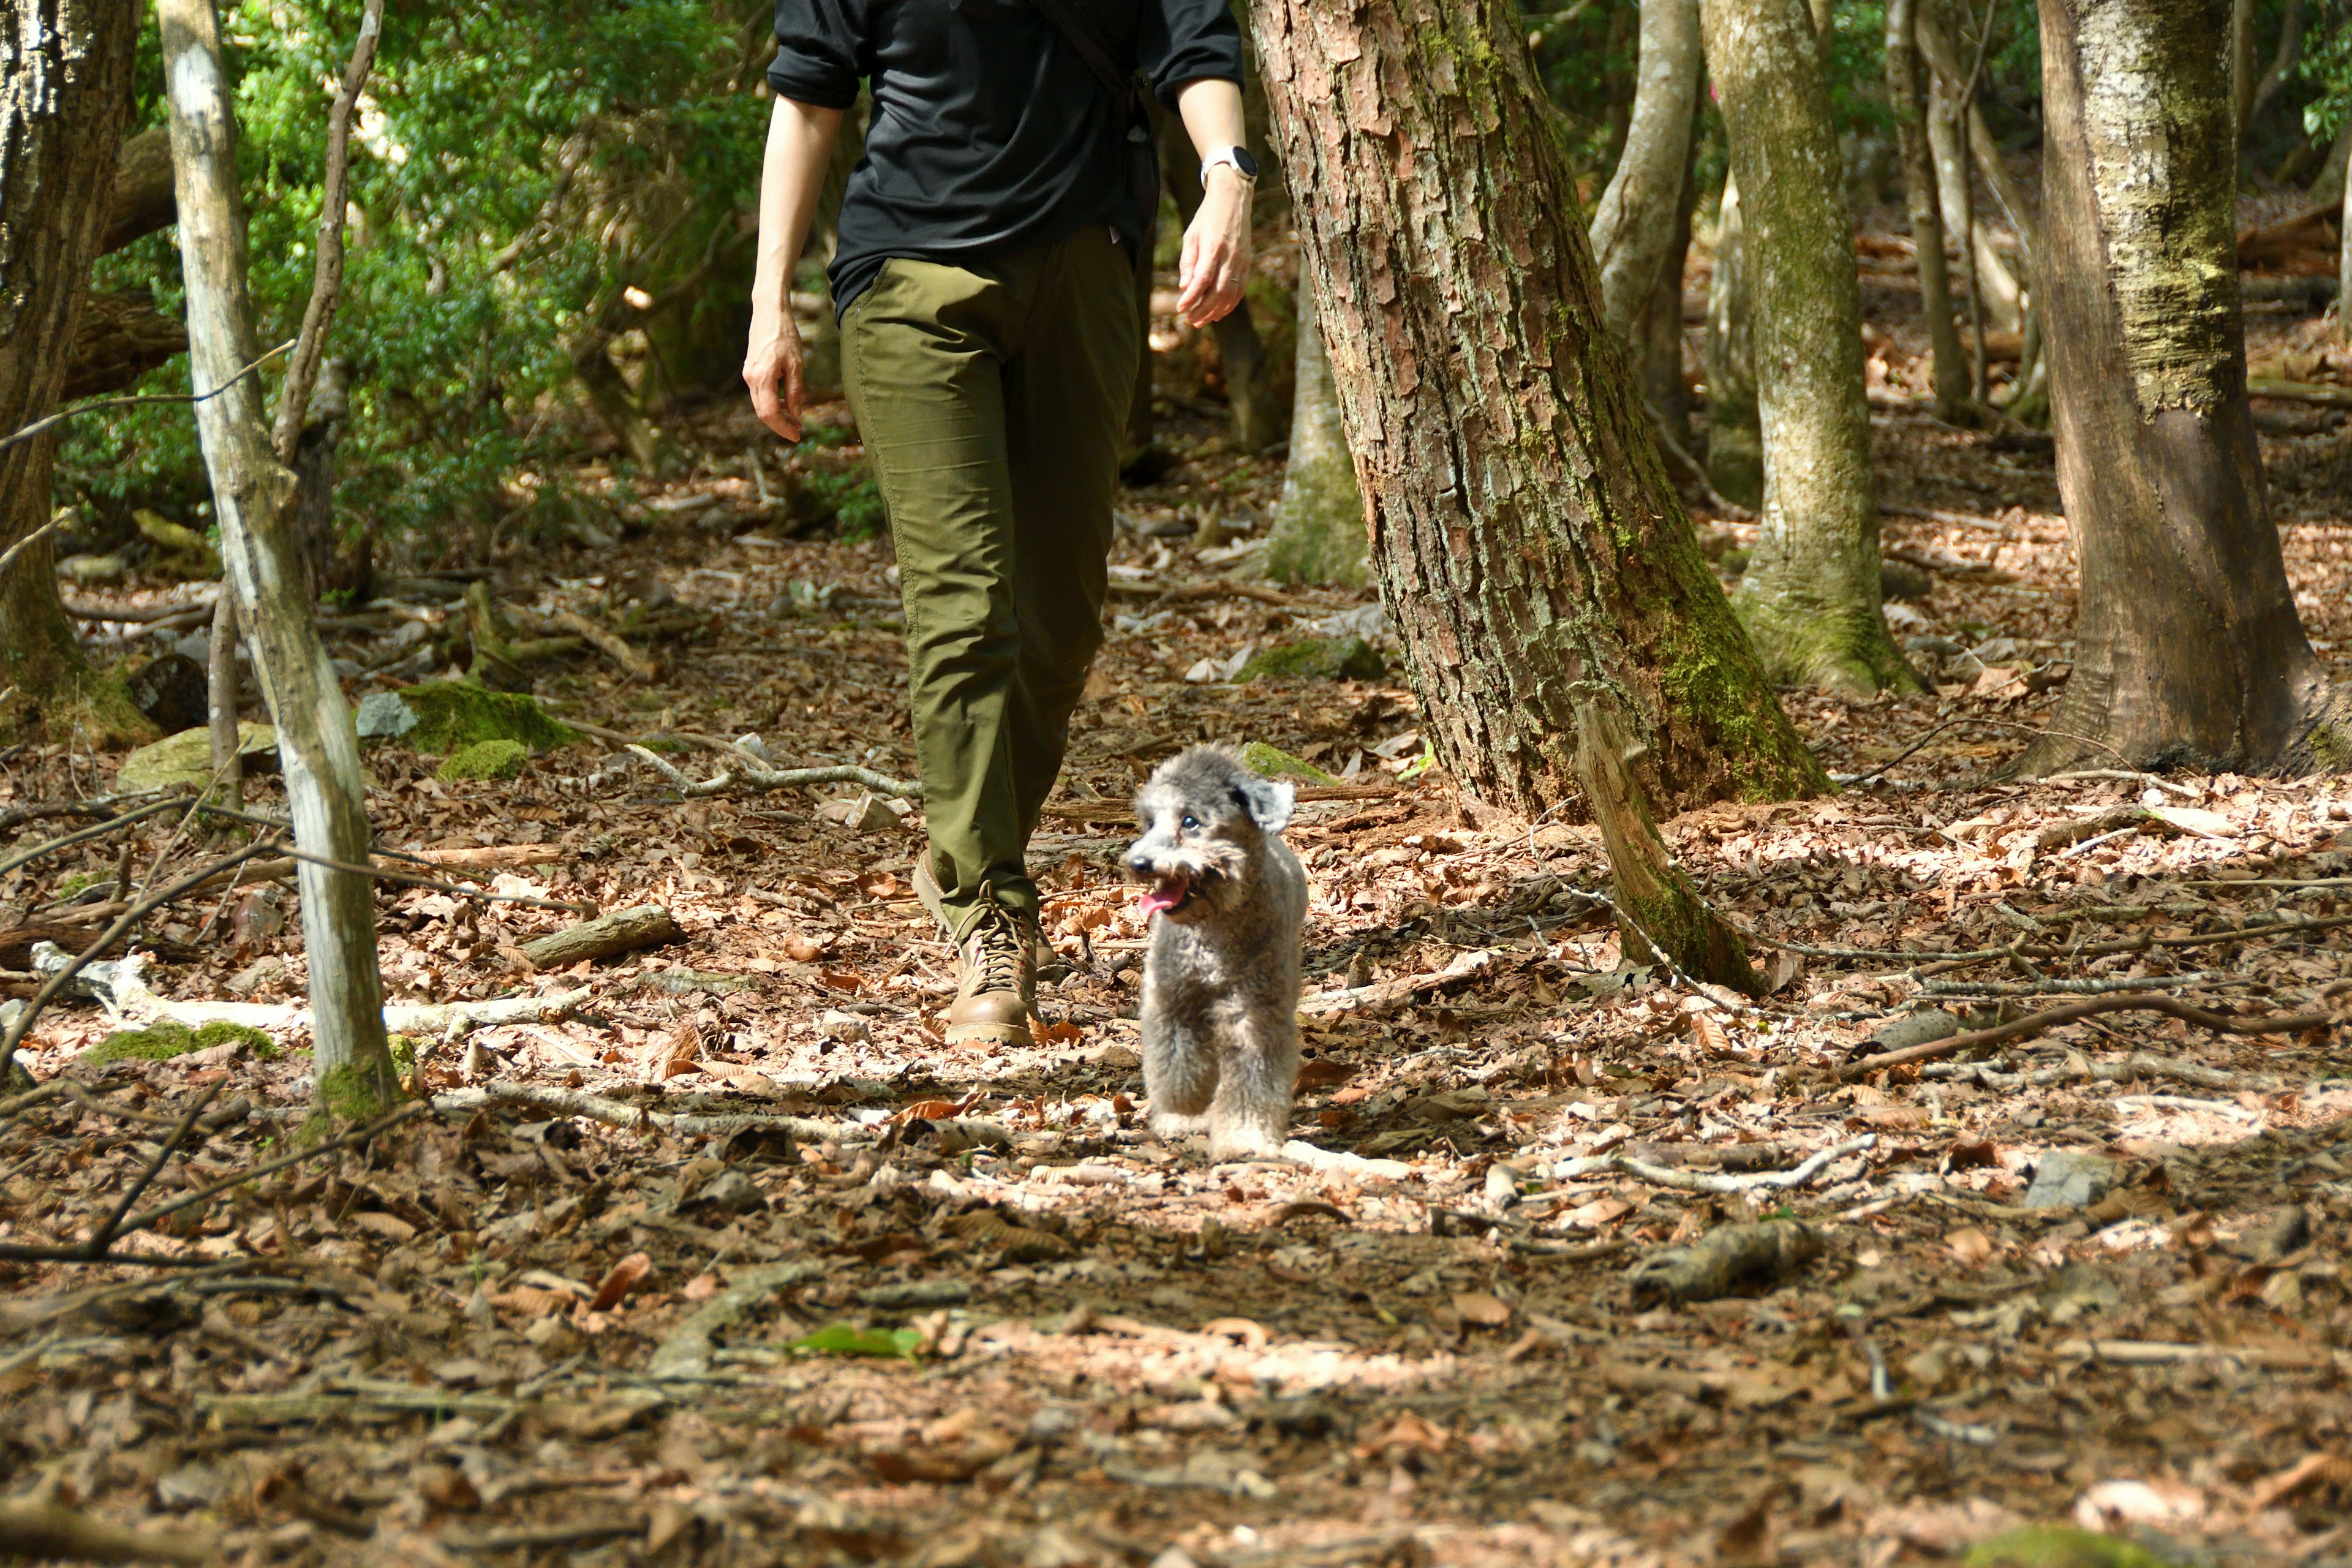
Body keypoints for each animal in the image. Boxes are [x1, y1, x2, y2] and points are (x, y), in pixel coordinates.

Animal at [1119, 747, 1308, 1166]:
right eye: (1150, 822)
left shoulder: (1253, 1016)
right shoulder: (1171, 1001)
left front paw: (1244, 1138)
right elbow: (1176, 1066)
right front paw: (1183, 1114)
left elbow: (1254, 1082)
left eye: (1190, 821)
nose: (1139, 863)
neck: (1212, 929)